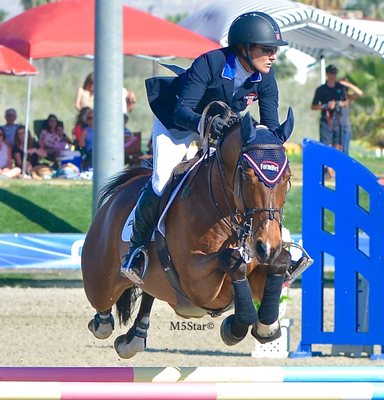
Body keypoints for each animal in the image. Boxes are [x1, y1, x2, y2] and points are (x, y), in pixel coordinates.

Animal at [82, 107, 294, 360]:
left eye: (288, 177)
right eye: (246, 173)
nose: (267, 246)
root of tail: (118, 194)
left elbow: (279, 263)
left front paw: (266, 327)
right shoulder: (197, 280)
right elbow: (232, 260)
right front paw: (236, 327)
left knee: (149, 294)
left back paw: (133, 338)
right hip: (100, 281)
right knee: (103, 312)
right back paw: (105, 321)